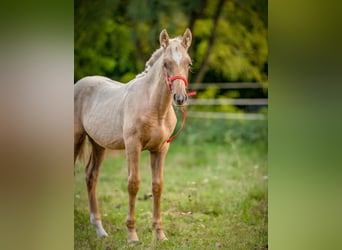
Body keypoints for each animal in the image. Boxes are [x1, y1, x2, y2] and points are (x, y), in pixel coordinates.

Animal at [74, 27, 192, 242]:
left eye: (188, 63)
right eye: (166, 64)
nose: (180, 98)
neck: (154, 108)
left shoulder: (161, 149)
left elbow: (157, 186)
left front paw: (160, 234)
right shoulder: (133, 145)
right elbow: (133, 184)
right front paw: (132, 235)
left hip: (98, 145)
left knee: (91, 176)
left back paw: (100, 230)